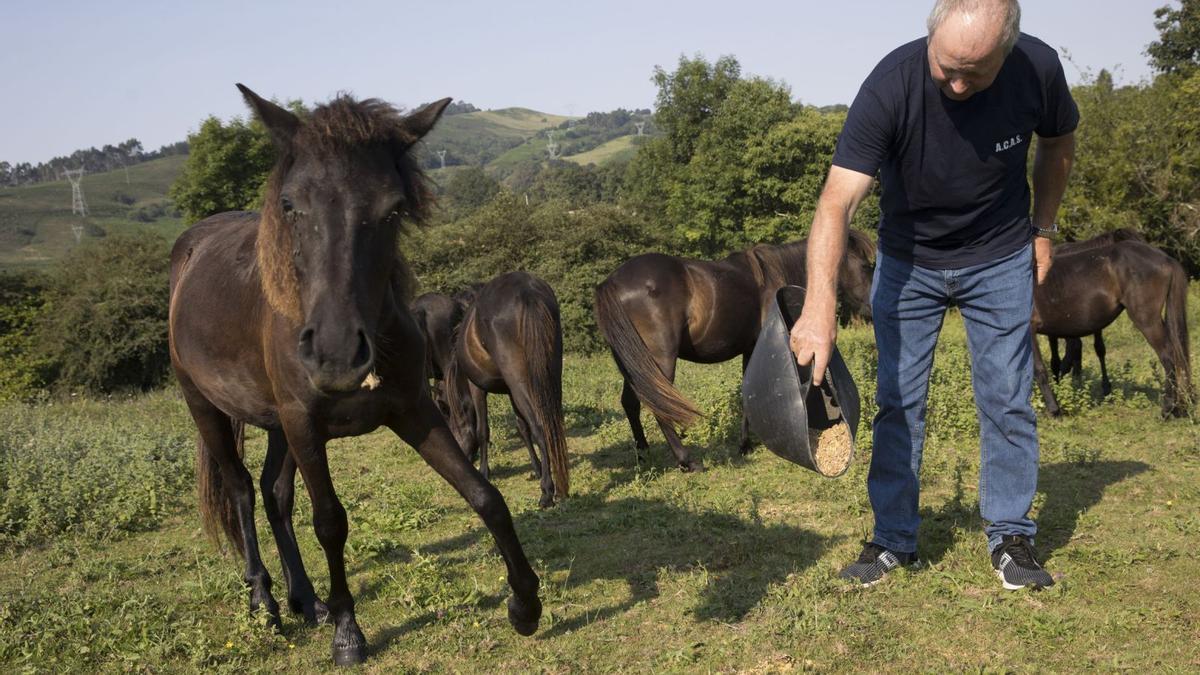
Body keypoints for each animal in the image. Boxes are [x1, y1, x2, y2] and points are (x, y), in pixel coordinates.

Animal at [166, 85, 542, 662]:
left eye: (393, 208)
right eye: (290, 205)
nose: (337, 353)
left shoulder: (413, 411)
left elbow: (485, 496)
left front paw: (525, 603)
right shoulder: (305, 425)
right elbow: (329, 522)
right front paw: (348, 633)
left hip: (278, 427)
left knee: (275, 494)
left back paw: (306, 599)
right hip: (206, 407)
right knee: (242, 489)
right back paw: (265, 602)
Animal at [444, 267, 568, 504]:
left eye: (452, 425)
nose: (464, 458)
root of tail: (527, 290)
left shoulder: (477, 388)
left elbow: (483, 430)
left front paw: (484, 472)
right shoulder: (511, 390)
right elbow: (522, 427)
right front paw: (537, 468)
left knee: (540, 426)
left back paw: (547, 491)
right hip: (549, 374)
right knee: (552, 423)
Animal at [595, 228, 878, 470]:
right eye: (866, 266)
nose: (872, 308)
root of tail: (611, 282)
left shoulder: (749, 349)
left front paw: (745, 444)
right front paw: (745, 445)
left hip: (633, 363)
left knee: (630, 402)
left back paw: (644, 455)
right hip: (659, 362)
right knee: (658, 405)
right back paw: (687, 461)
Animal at [1032, 236, 1190, 415]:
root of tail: (1166, 258)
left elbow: (1038, 369)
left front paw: (1054, 410)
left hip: (1147, 320)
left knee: (1168, 355)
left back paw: (1168, 408)